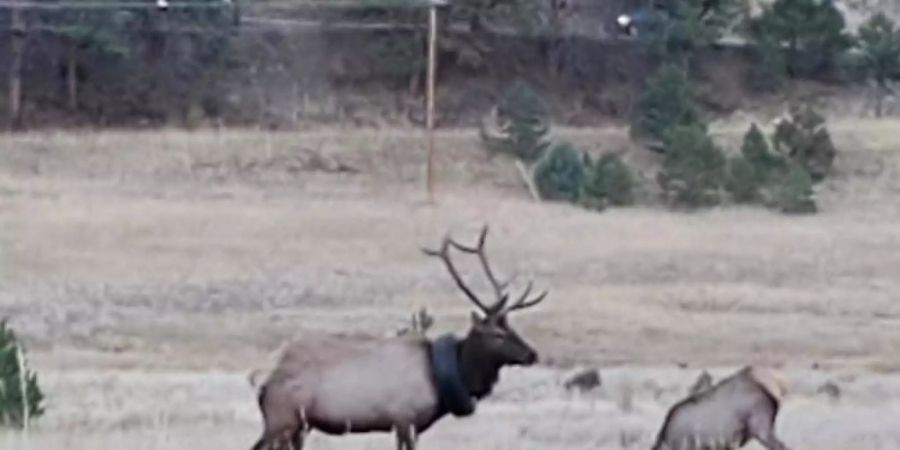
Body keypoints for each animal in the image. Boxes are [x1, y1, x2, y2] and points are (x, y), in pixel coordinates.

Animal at [251, 227, 548, 450]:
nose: (532, 354)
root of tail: (264, 385)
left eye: (512, 328)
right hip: (283, 419)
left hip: (297, 426)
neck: (439, 381)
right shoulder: (405, 418)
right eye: (497, 334)